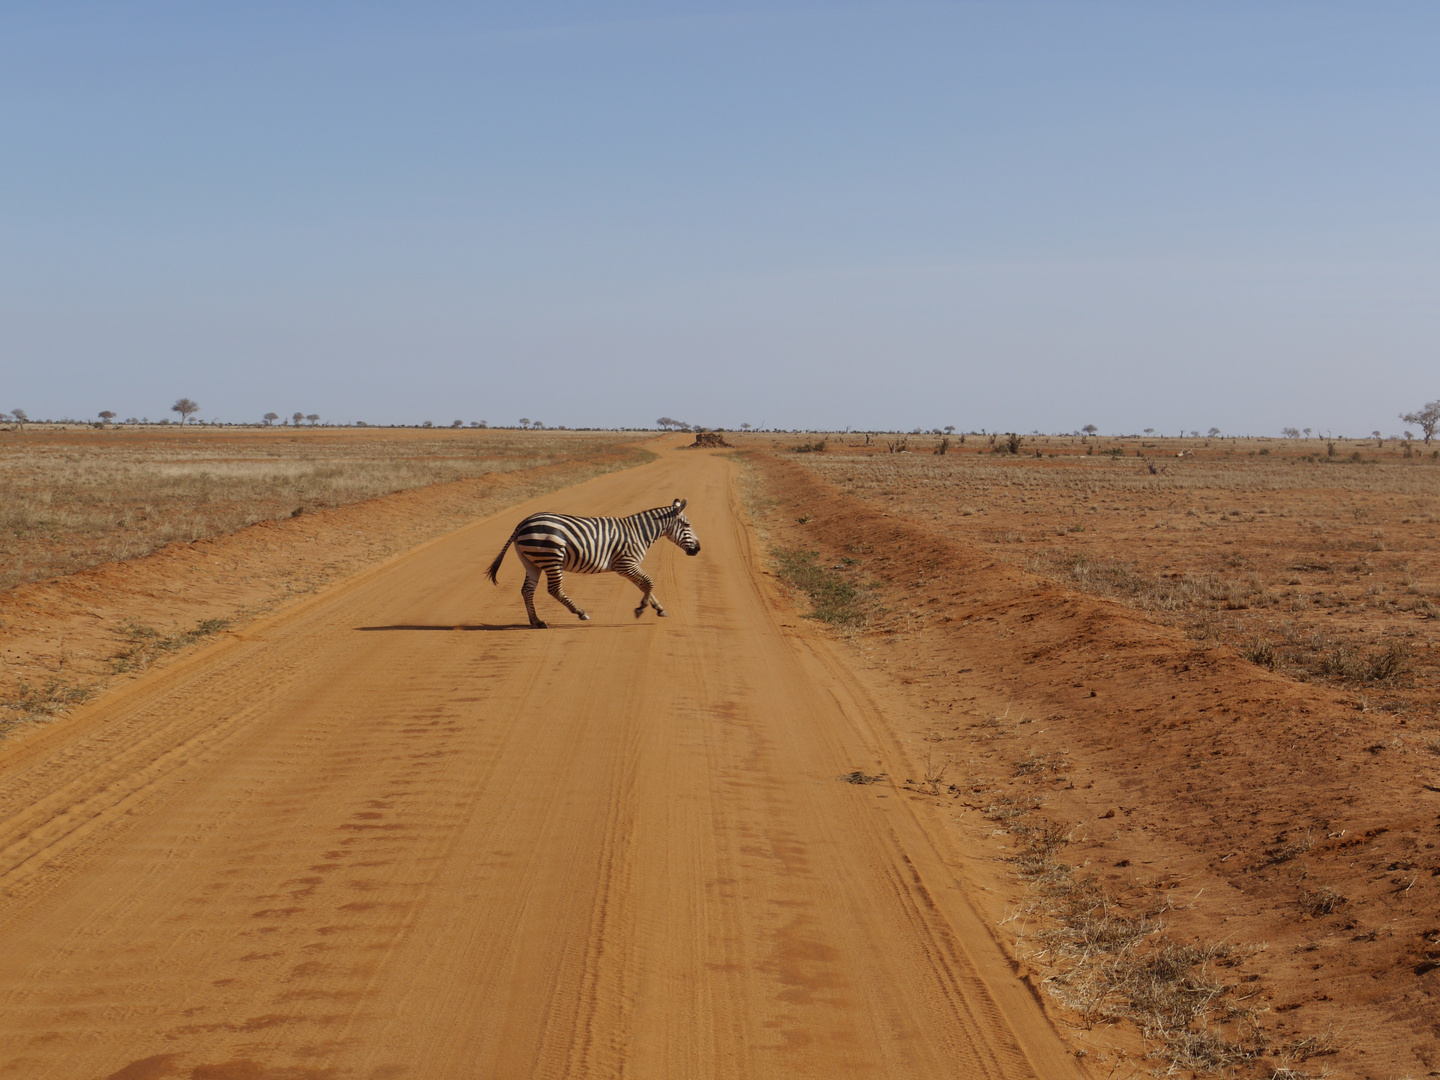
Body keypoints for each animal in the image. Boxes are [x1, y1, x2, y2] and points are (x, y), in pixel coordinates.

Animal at [489, 498, 702, 624]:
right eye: (687, 524)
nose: (698, 549)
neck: (639, 533)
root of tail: (524, 522)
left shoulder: (628, 566)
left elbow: (644, 586)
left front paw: (658, 608)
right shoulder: (626, 564)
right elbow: (649, 582)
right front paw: (641, 609)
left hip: (531, 562)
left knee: (527, 590)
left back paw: (536, 621)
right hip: (552, 557)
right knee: (554, 589)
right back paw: (580, 613)